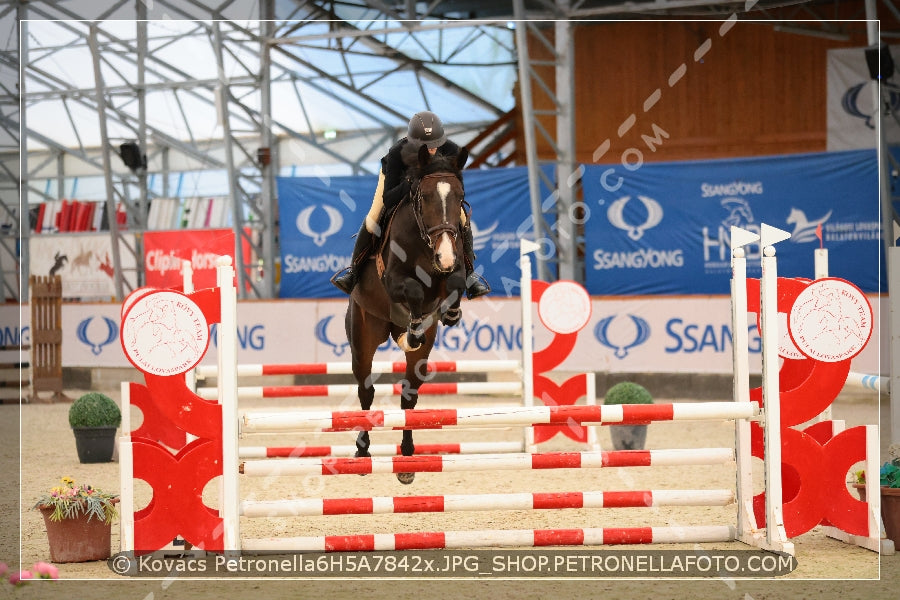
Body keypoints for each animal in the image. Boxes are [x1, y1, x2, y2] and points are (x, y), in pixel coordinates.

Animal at [346, 143, 472, 486]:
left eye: (460, 195)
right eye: (424, 196)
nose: (444, 256)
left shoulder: (453, 270)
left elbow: (456, 282)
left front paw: (451, 313)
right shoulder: (393, 280)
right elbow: (413, 290)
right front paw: (413, 326)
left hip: (422, 354)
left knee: (409, 395)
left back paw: (407, 458)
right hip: (363, 337)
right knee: (366, 391)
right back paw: (362, 452)